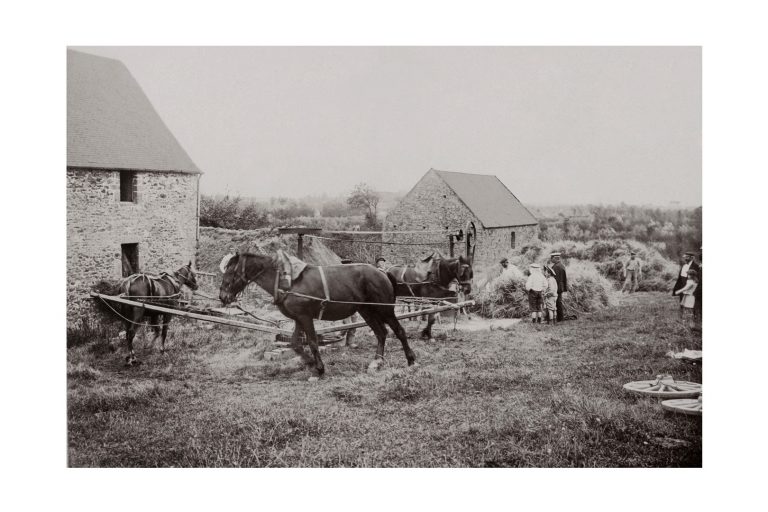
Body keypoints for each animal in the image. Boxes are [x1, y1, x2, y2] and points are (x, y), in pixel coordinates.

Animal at [219, 252, 416, 376]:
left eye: (231, 272)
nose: (222, 296)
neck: (287, 280)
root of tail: (383, 273)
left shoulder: (306, 317)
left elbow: (313, 342)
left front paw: (319, 367)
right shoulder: (298, 318)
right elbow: (296, 344)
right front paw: (309, 362)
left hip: (384, 310)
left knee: (399, 331)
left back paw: (411, 360)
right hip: (366, 311)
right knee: (381, 333)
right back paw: (377, 362)